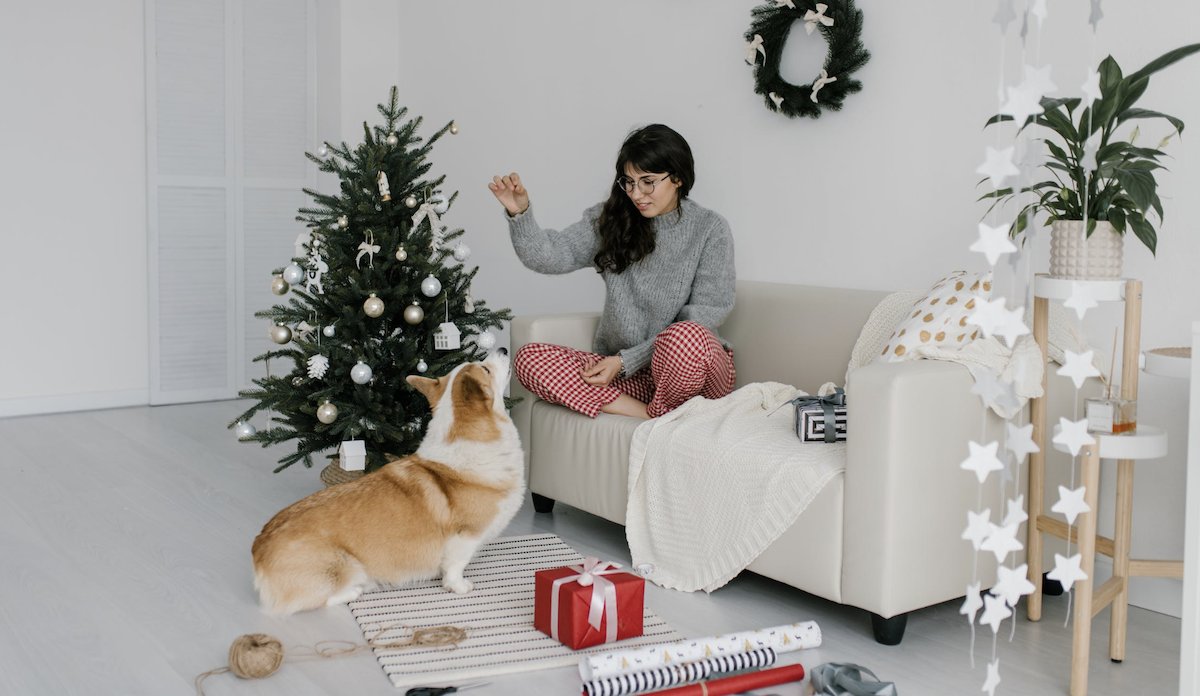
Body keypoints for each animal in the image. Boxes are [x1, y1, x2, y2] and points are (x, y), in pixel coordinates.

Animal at [250, 348, 523, 614]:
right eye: (486, 369)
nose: (503, 348)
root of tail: (258, 550)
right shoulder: (466, 535)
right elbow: (456, 565)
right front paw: (459, 587)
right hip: (343, 565)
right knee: (316, 599)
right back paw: (356, 590)